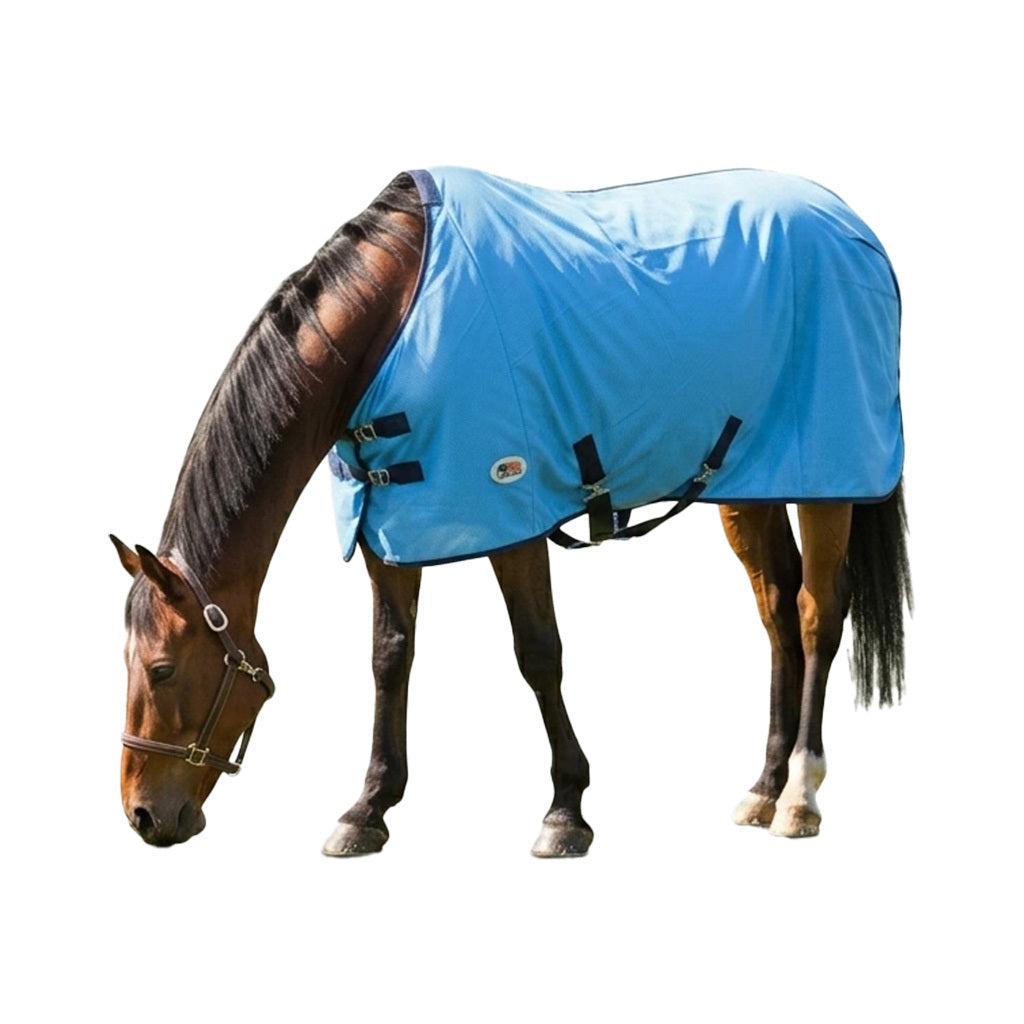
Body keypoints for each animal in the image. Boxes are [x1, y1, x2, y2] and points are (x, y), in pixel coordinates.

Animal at [113, 167, 911, 855]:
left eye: (160, 669)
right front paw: (368, 809)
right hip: (750, 481)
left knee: (816, 612)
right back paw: (764, 788)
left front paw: (566, 810)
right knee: (776, 607)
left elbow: (538, 653)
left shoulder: (508, 513)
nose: (144, 815)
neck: (391, 320)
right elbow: (389, 657)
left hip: (831, 477)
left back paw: (801, 796)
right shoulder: (391, 523)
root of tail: (851, 224)